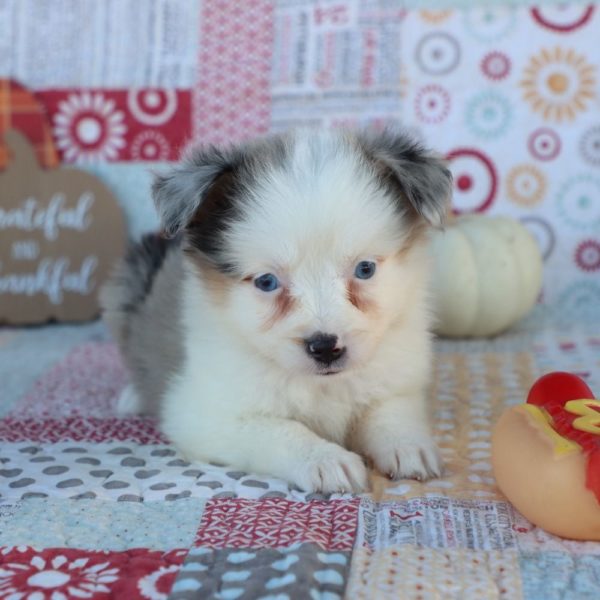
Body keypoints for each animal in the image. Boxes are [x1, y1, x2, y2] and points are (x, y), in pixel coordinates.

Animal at [101, 127, 452, 492]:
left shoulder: (398, 381)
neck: (322, 385)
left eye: (365, 269)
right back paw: (132, 395)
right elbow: (281, 430)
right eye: (267, 281)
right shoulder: (208, 414)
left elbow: (391, 413)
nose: (325, 348)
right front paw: (326, 459)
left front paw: (407, 445)